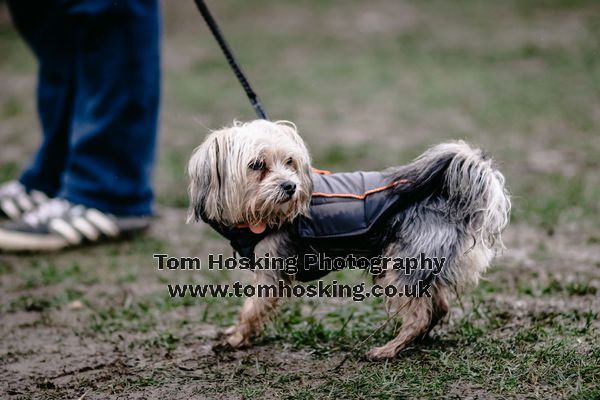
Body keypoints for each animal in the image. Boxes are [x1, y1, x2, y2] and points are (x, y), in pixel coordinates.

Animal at [189, 119, 510, 360]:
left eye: (289, 162)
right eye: (257, 165)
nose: (291, 186)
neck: (256, 215)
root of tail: (449, 197)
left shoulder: (271, 272)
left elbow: (253, 308)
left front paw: (236, 338)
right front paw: (234, 335)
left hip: (399, 265)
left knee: (420, 314)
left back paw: (388, 349)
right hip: (419, 263)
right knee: (437, 308)